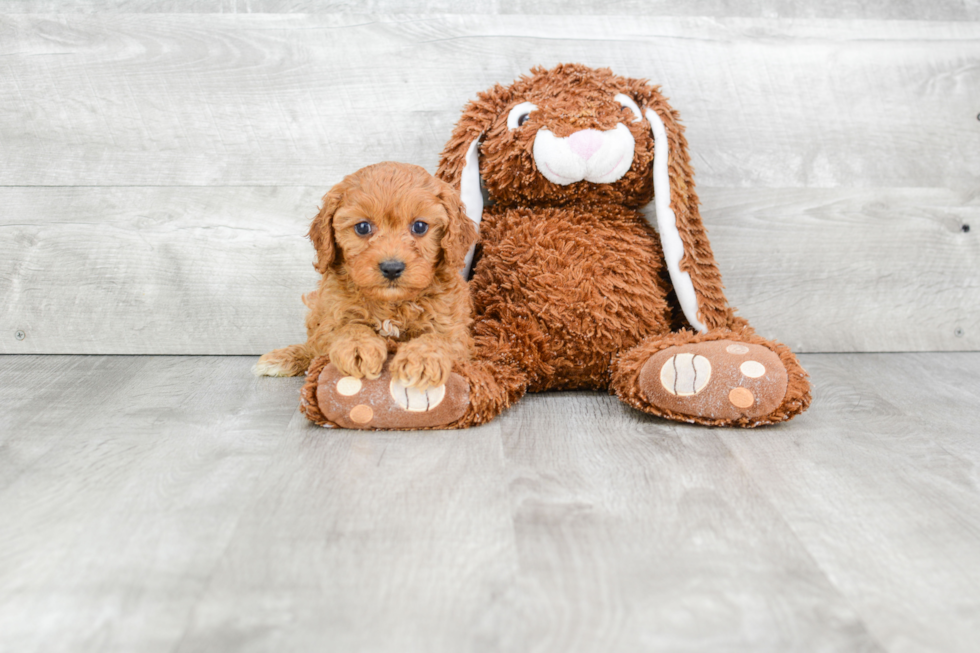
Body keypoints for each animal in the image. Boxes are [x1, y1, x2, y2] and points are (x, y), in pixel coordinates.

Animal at [256, 161, 478, 390]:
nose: (392, 268)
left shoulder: (454, 331)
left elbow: (437, 338)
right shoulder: (331, 317)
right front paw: (358, 347)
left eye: (420, 226)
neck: (391, 304)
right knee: (312, 346)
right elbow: (348, 327)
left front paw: (422, 359)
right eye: (363, 227)